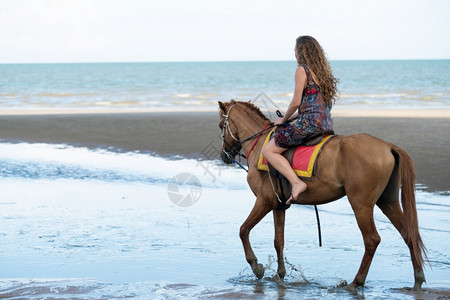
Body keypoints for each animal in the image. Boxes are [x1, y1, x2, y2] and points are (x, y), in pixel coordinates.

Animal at [220, 100, 428, 290]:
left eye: (222, 125)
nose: (224, 156)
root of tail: (388, 146)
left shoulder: (264, 201)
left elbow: (243, 230)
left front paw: (256, 266)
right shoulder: (279, 205)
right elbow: (278, 241)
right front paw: (280, 274)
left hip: (361, 204)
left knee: (372, 240)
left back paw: (356, 282)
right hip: (388, 201)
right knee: (408, 234)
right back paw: (417, 279)